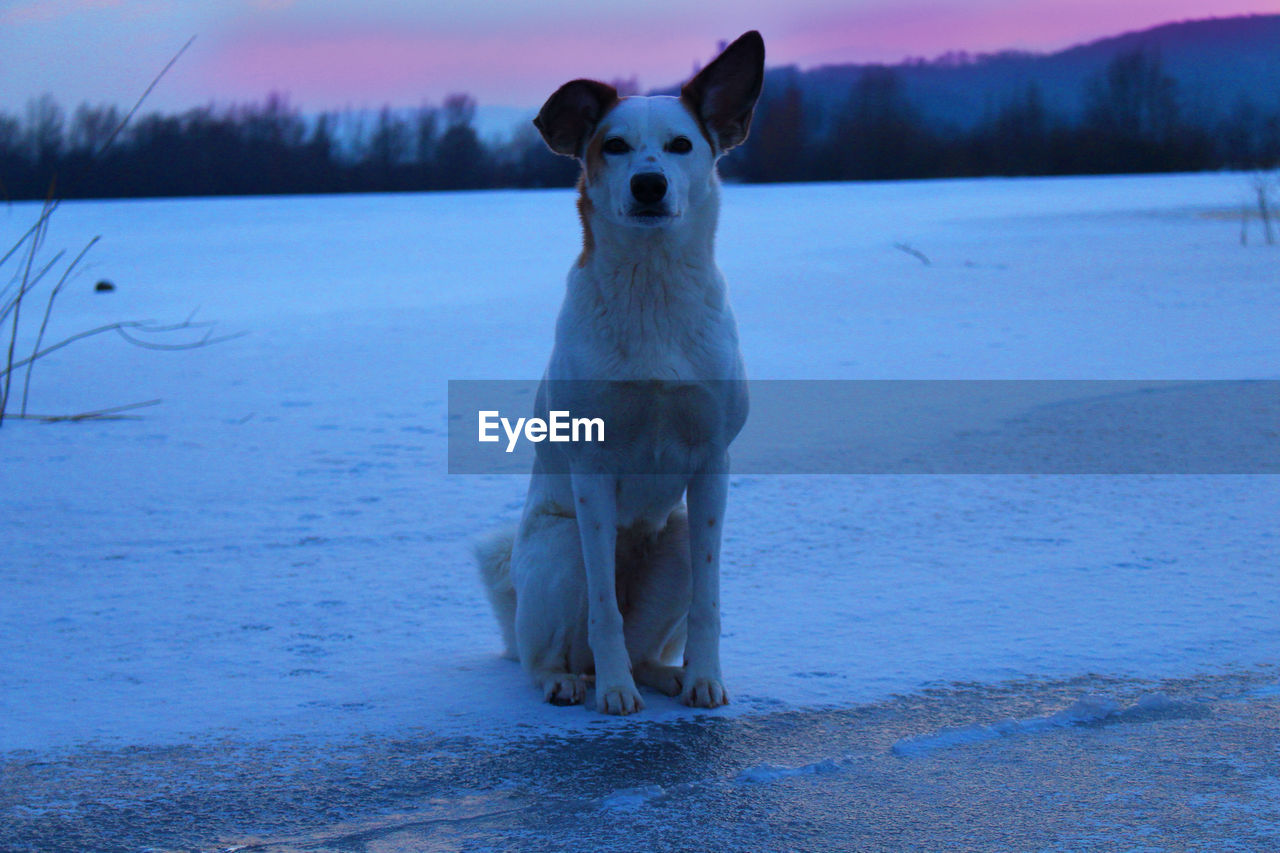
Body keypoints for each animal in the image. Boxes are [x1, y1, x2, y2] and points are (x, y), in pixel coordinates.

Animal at [476, 31, 762, 712]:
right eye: (615, 146)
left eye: (682, 145)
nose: (650, 185)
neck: (652, 289)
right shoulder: (592, 467)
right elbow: (604, 610)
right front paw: (612, 692)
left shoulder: (712, 467)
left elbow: (710, 602)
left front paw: (705, 678)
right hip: (561, 552)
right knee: (545, 652)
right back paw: (570, 680)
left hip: (676, 539)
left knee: (642, 642)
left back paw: (665, 674)